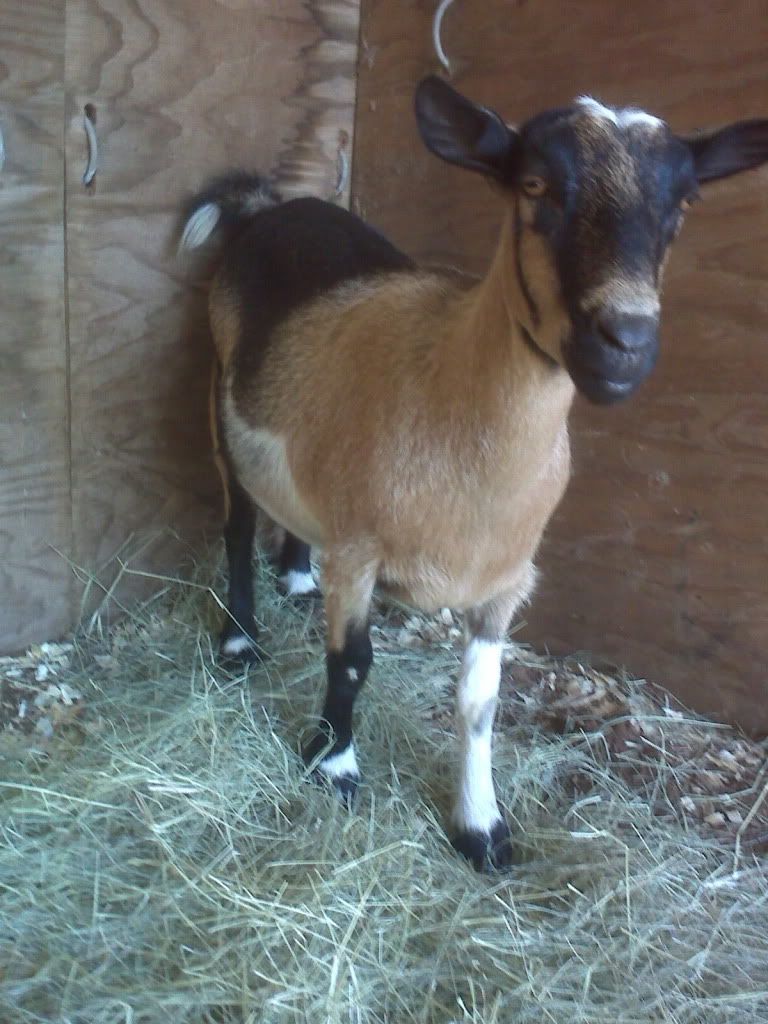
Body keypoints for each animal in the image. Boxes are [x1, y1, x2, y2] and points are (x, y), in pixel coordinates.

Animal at [180, 77, 768, 870]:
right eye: (535, 185)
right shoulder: (361, 553)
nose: (626, 342)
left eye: (683, 203)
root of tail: (273, 208)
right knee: (239, 519)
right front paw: (334, 765)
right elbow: (351, 662)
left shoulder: (506, 582)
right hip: (219, 387)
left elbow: (481, 701)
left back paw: (298, 576)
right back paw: (240, 639)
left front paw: (481, 825)